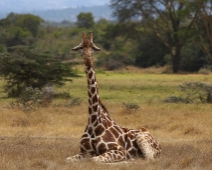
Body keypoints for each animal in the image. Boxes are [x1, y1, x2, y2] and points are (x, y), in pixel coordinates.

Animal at [66, 31, 161, 163]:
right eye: (81, 47)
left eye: (93, 48)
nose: (88, 60)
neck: (94, 123)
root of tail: (160, 146)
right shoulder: (85, 152)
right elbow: (68, 159)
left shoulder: (120, 150)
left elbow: (94, 160)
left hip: (142, 137)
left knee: (149, 159)